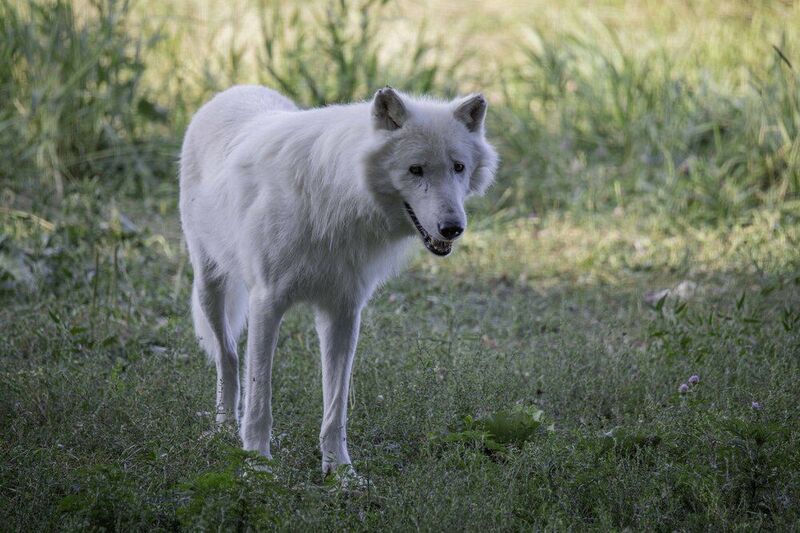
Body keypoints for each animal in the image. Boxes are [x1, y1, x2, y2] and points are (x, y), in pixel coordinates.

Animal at [179, 84, 498, 474]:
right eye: (416, 169)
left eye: (458, 167)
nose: (453, 228)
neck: (339, 198)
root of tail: (237, 90)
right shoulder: (266, 303)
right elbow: (260, 400)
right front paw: (257, 464)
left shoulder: (343, 312)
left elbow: (336, 407)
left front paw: (340, 472)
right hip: (209, 288)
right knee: (229, 357)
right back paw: (225, 427)